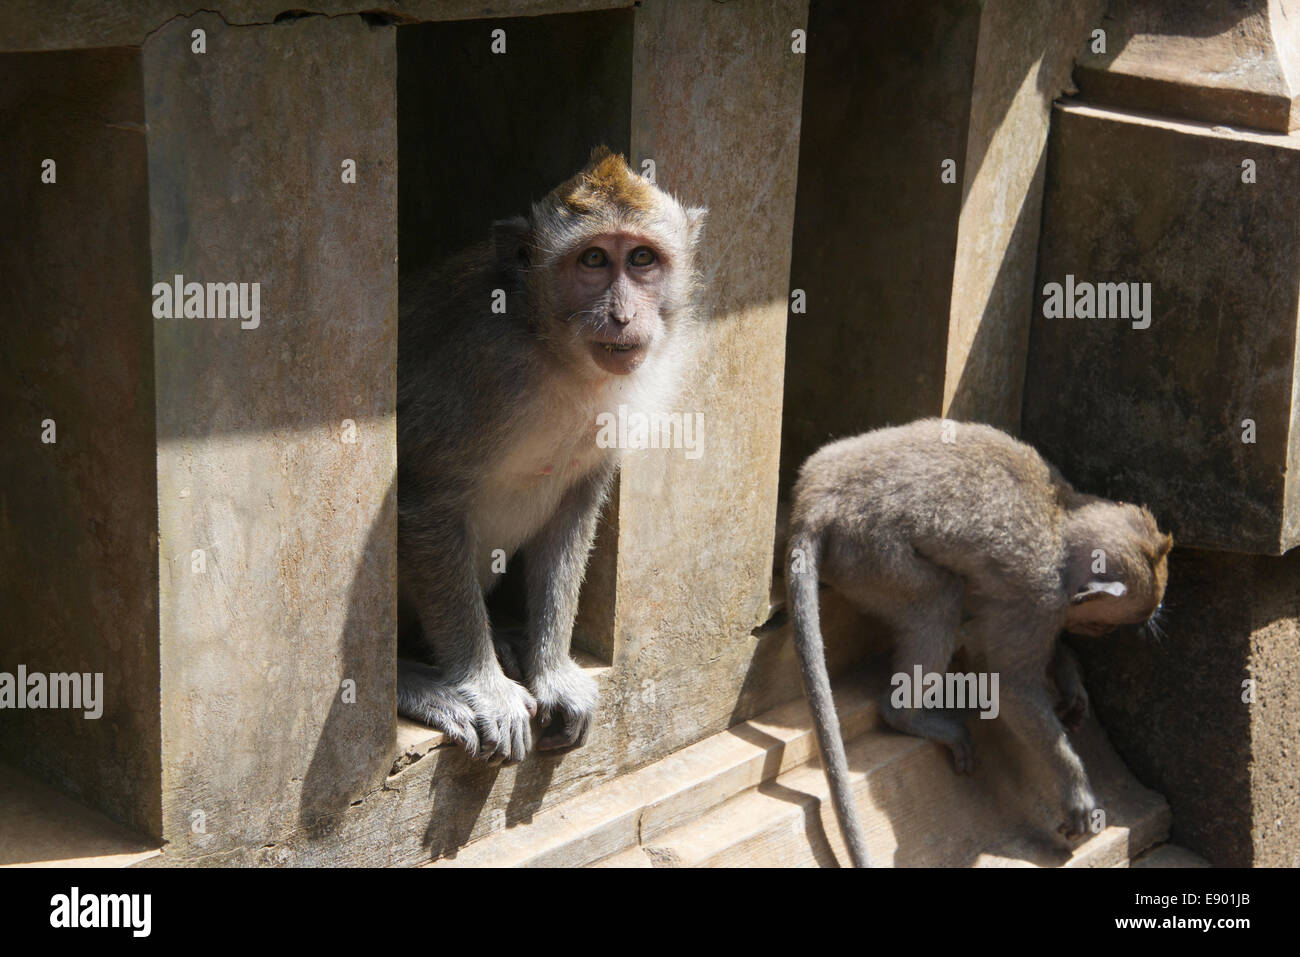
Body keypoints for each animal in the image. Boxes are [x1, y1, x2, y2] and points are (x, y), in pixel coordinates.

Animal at [400, 145, 707, 764]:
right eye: (592, 260)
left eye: (641, 258)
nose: (622, 315)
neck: (555, 355)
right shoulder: (478, 366)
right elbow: (425, 500)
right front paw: (486, 686)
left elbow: (575, 509)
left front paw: (553, 670)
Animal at [785, 421, 1175, 868]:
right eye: (1104, 625)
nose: (1093, 633)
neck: (1062, 519)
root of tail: (817, 498)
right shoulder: (1039, 597)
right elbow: (1009, 683)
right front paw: (1075, 787)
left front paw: (1067, 674)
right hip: (868, 552)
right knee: (939, 601)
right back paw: (906, 715)